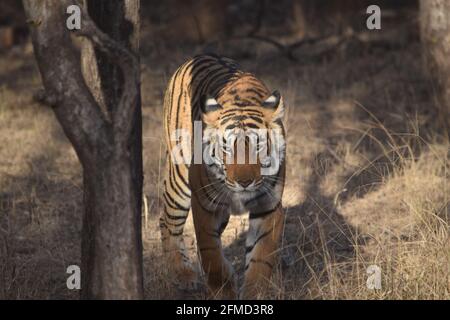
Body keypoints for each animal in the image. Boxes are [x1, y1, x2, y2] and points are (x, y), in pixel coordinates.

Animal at [160, 53, 286, 300]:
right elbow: (211, 254)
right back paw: (182, 274)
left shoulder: (268, 206)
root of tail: (198, 55)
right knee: (167, 221)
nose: (244, 182)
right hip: (179, 179)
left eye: (258, 146)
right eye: (227, 147)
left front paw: (254, 294)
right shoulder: (205, 205)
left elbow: (261, 257)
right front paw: (222, 290)